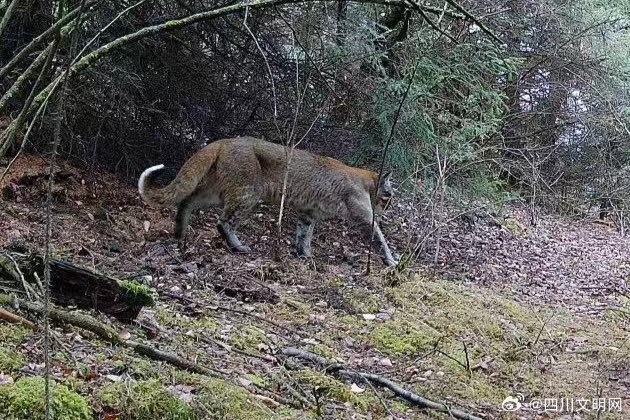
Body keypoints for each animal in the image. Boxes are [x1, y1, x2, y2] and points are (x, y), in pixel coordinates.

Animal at [139, 136, 400, 266]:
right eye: (388, 195)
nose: (388, 207)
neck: (365, 179)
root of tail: (226, 140)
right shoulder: (363, 217)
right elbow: (379, 237)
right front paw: (391, 261)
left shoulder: (309, 212)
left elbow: (304, 233)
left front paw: (304, 254)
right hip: (248, 191)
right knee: (223, 221)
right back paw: (238, 246)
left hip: (215, 190)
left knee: (187, 201)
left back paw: (180, 234)